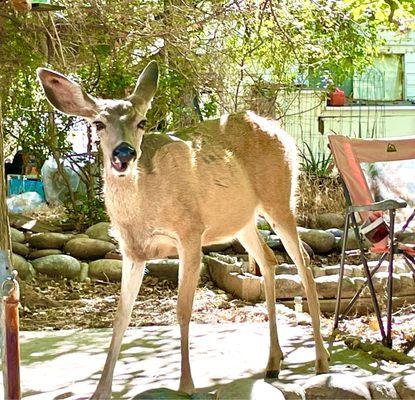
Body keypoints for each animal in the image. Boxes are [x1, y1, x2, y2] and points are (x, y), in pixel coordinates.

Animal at [38, 61, 332, 398]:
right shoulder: (132, 252)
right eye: (98, 123)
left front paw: (186, 384)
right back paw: (273, 361)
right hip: (241, 220)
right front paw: (100, 390)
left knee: (302, 262)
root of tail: (283, 133)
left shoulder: (190, 232)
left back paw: (321, 360)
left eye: (142, 122)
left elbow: (182, 309)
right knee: (269, 260)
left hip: (280, 199)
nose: (124, 153)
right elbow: (121, 316)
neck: (143, 210)